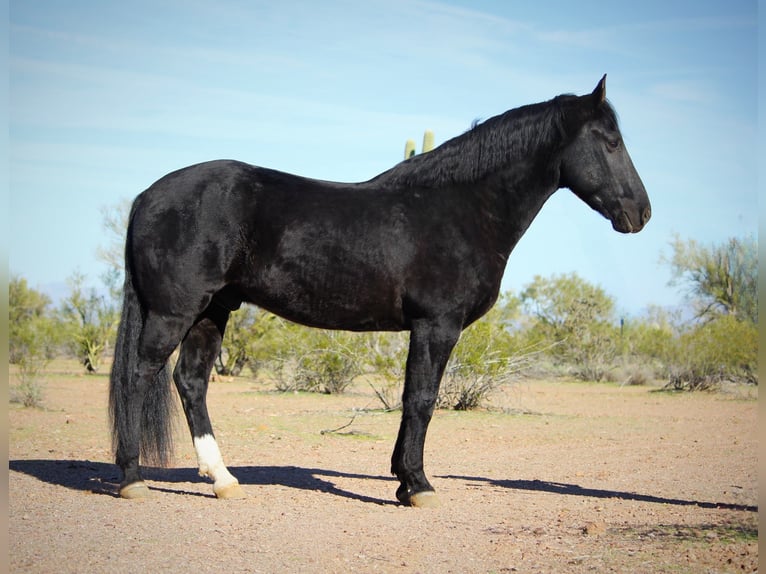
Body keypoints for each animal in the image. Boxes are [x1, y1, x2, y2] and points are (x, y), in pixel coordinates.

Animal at [109, 75, 651, 507]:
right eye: (610, 141)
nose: (641, 213)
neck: (461, 208)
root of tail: (148, 196)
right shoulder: (437, 325)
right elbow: (423, 400)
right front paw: (419, 485)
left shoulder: (423, 329)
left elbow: (413, 398)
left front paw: (403, 480)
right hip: (174, 312)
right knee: (139, 375)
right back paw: (132, 477)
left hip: (211, 311)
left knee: (191, 382)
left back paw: (222, 479)